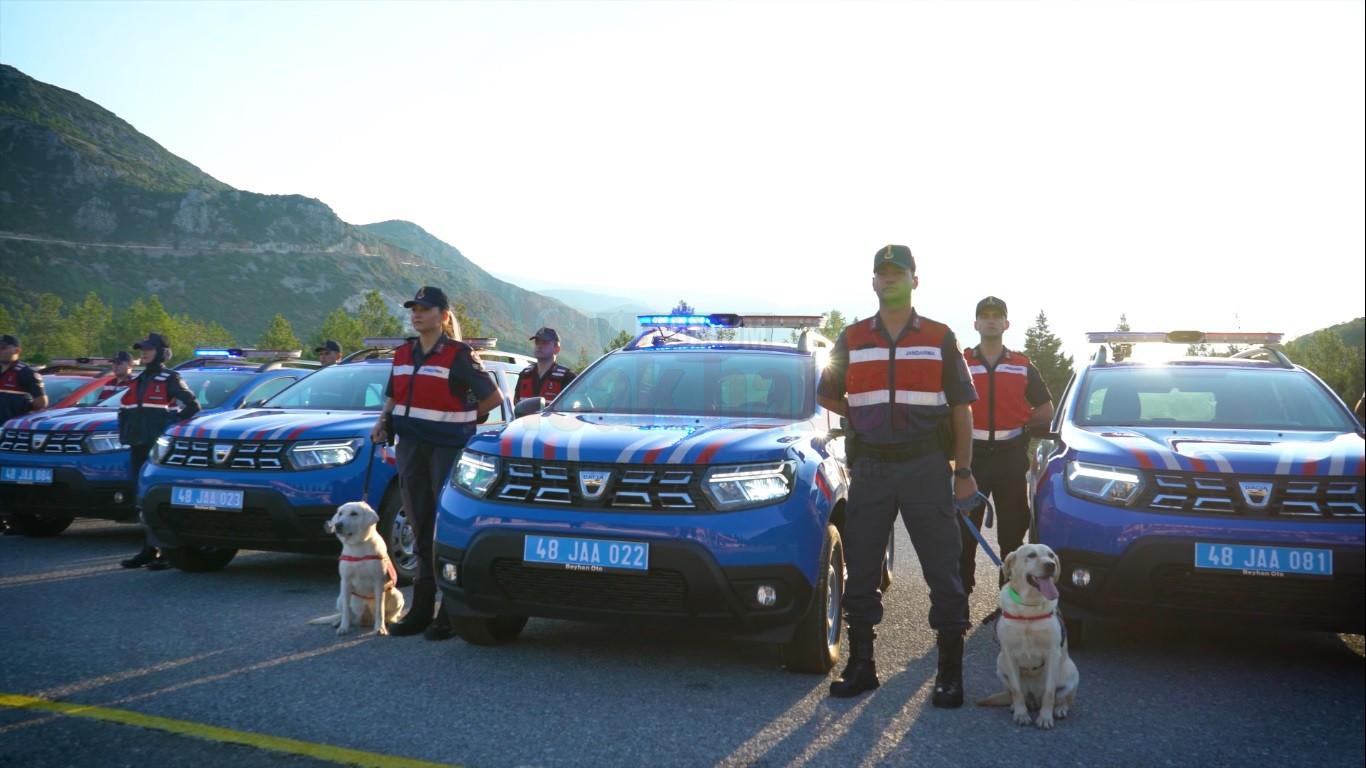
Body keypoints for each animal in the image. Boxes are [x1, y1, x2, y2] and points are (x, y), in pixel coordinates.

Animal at [312, 500, 407, 631]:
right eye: (340, 513)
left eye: (354, 513)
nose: (337, 525)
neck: (359, 546)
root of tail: (365, 620)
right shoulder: (345, 582)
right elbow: (346, 611)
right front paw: (343, 627)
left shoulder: (379, 582)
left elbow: (380, 610)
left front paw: (380, 628)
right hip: (340, 598)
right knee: (345, 613)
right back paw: (338, 622)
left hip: (398, 596)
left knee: (390, 615)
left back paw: (391, 622)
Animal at [978, 541, 1081, 727]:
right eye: (1031, 555)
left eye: (1051, 555)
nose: (1051, 565)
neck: (1029, 608)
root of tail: (1035, 699)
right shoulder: (1009, 654)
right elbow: (1016, 691)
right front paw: (1021, 714)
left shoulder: (1052, 654)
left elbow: (1050, 693)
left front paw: (1045, 718)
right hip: (1000, 663)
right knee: (1016, 694)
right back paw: (1016, 705)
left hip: (1071, 672)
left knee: (1063, 698)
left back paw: (1059, 709)